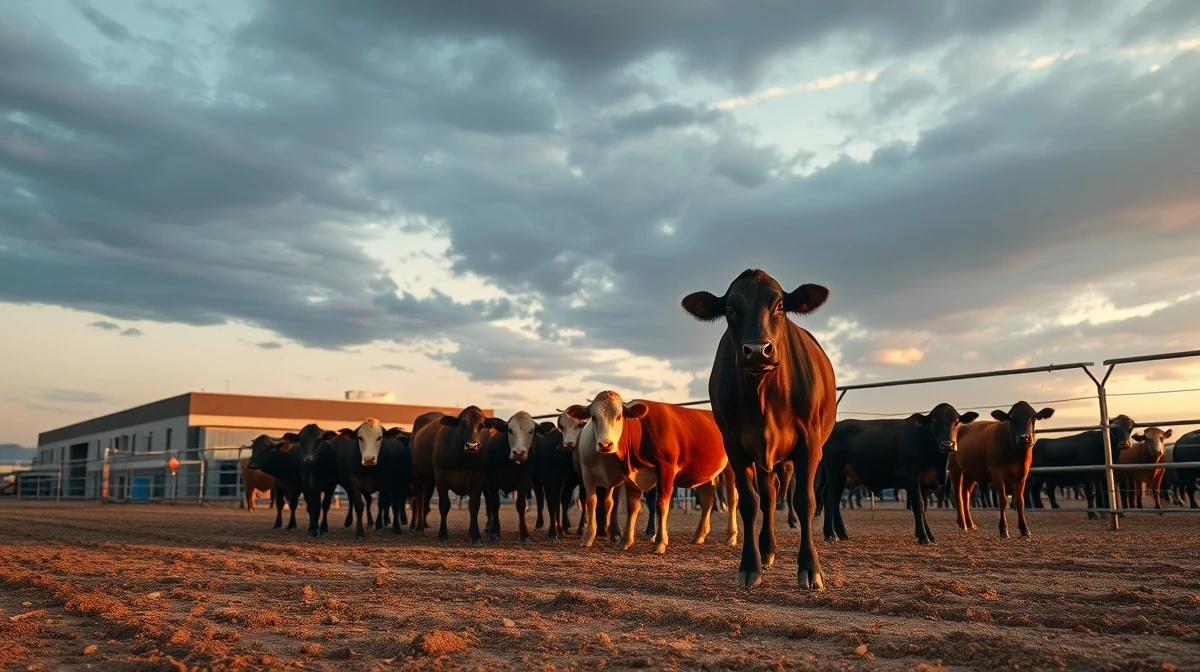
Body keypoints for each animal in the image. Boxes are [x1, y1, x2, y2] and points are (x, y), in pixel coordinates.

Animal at [484, 411, 552, 543]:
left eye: (531, 431)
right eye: (509, 430)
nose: (518, 453)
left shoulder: (523, 481)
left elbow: (520, 505)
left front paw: (524, 534)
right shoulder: (490, 482)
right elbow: (494, 504)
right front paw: (494, 532)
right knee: (489, 504)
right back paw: (488, 526)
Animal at [564, 391, 738, 554]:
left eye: (619, 416)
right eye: (593, 417)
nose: (605, 445)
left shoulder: (666, 470)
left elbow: (661, 505)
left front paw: (660, 543)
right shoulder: (629, 475)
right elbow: (632, 507)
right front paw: (624, 542)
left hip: (731, 469)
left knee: (732, 499)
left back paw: (731, 536)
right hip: (703, 474)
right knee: (707, 499)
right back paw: (699, 536)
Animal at [682, 269, 838, 591]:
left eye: (780, 306)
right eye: (730, 309)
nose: (757, 351)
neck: (764, 396)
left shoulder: (809, 442)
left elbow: (804, 500)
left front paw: (810, 568)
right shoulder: (735, 445)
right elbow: (750, 502)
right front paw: (750, 566)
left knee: (780, 493)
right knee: (767, 496)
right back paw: (767, 550)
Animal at [822, 403, 979, 545]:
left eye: (957, 422)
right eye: (934, 422)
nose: (948, 445)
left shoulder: (924, 482)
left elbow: (924, 507)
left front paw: (930, 536)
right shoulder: (912, 477)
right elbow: (918, 504)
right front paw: (923, 537)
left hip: (841, 477)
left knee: (834, 499)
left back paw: (841, 534)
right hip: (834, 472)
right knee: (829, 498)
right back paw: (831, 535)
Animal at [949, 401, 1056, 538]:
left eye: (1033, 417)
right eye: (1012, 418)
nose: (1024, 438)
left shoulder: (1022, 475)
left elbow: (1020, 501)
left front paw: (1025, 529)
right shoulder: (997, 473)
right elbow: (1003, 500)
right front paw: (1003, 530)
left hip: (971, 473)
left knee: (965, 494)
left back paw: (970, 524)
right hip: (955, 469)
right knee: (958, 494)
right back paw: (962, 524)